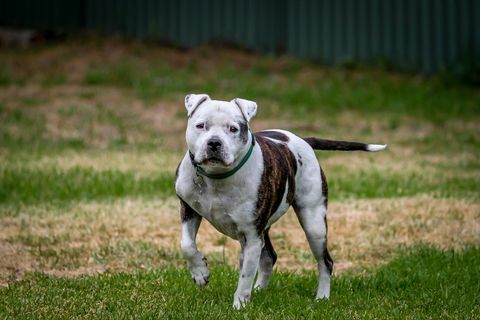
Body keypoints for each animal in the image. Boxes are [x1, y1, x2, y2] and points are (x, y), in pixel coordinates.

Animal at [175, 94, 386, 308]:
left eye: (233, 129)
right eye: (200, 125)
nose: (214, 143)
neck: (216, 177)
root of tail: (303, 140)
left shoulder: (251, 236)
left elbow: (245, 275)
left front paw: (239, 306)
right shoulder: (189, 209)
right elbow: (187, 244)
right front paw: (200, 272)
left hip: (314, 223)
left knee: (325, 261)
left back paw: (322, 297)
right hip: (267, 228)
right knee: (269, 256)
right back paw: (259, 289)